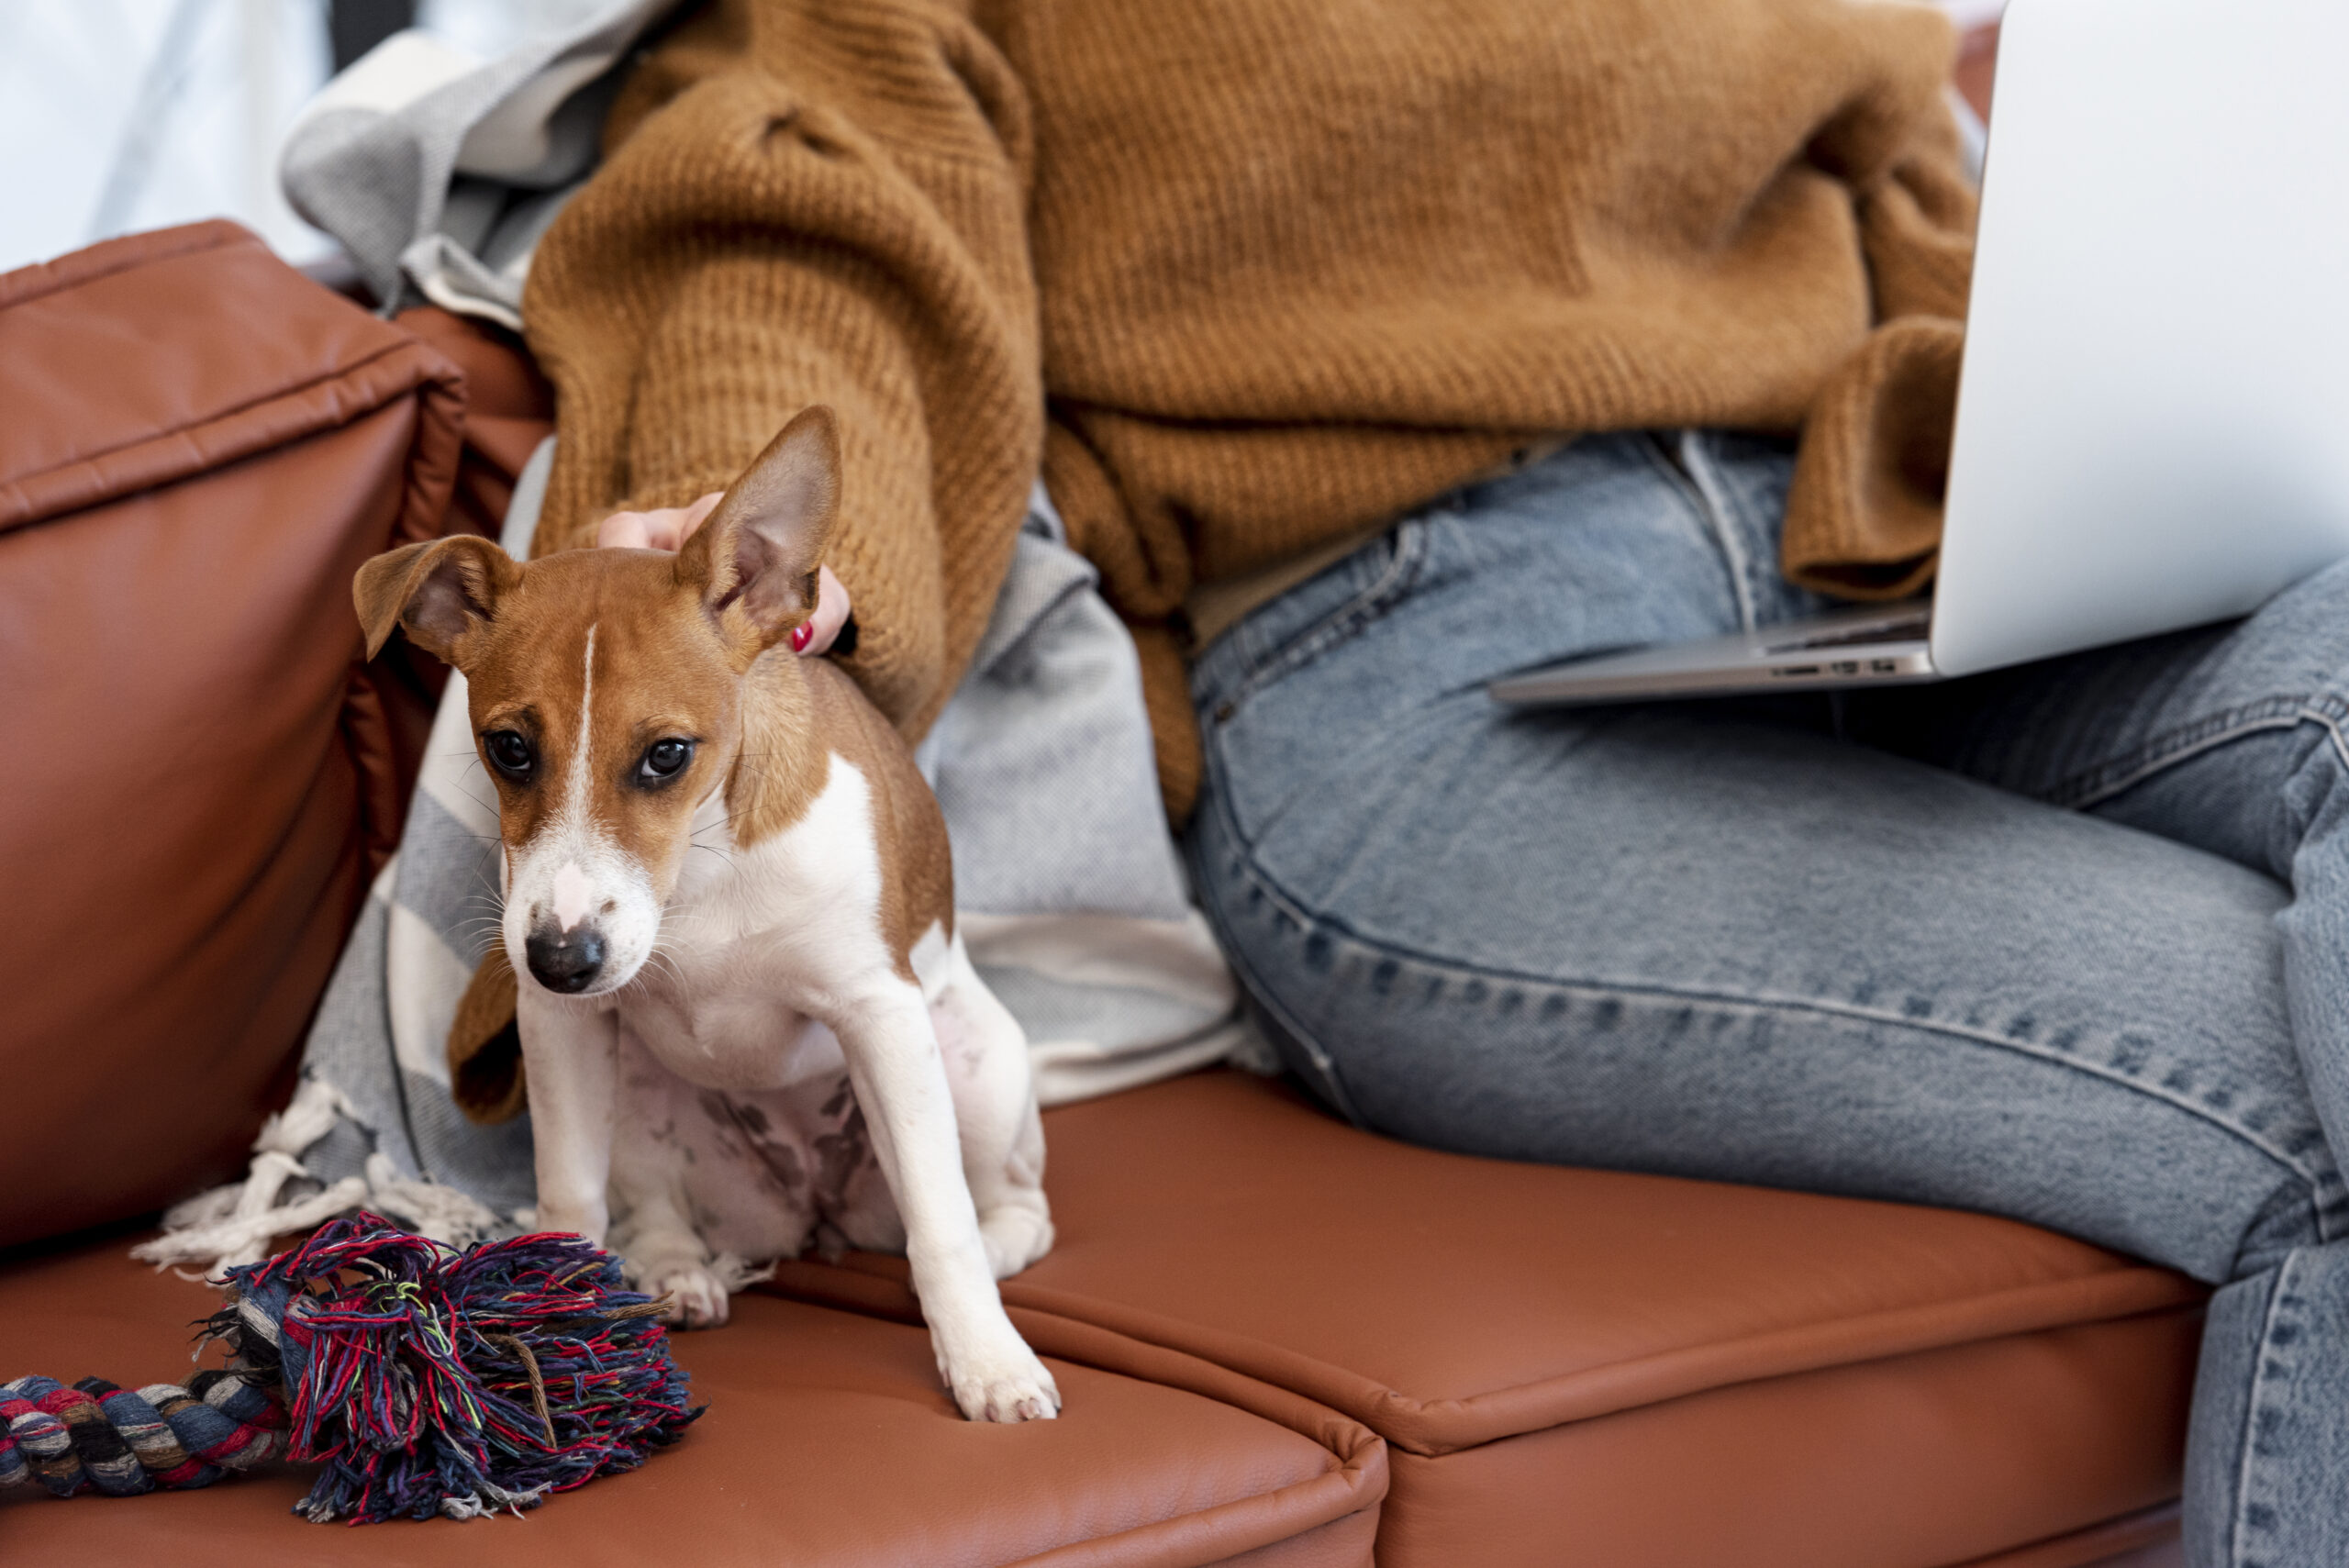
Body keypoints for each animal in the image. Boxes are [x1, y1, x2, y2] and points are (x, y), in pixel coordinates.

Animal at [352, 404, 1062, 1418]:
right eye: (509, 747)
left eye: (668, 754)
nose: (560, 960)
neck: (700, 871)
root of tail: (817, 1212)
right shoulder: (563, 1030)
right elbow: (570, 1196)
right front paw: (563, 1318)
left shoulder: (881, 1013)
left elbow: (941, 1222)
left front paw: (986, 1361)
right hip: (642, 1094)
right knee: (653, 1208)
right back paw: (674, 1271)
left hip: (974, 1063)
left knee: (1007, 1207)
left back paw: (998, 1258)